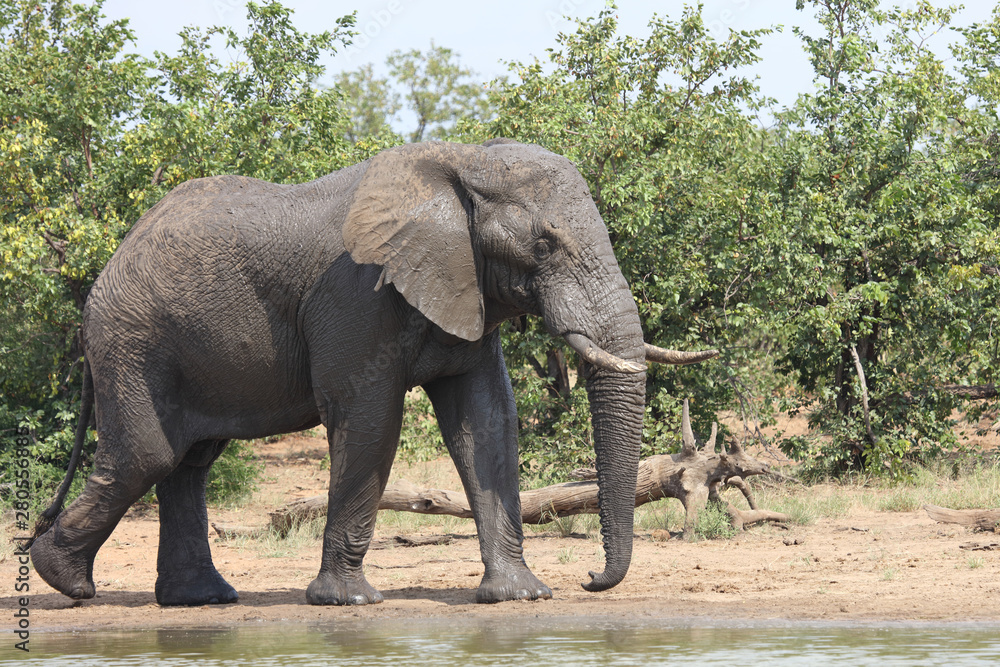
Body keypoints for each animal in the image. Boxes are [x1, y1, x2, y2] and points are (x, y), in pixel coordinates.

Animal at [29, 138, 717, 607]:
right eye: (545, 242)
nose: (592, 579)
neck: (464, 164)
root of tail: (104, 271)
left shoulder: (466, 287)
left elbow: (487, 422)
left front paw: (522, 595)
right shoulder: (358, 295)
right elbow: (369, 418)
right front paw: (347, 601)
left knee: (187, 463)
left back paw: (200, 599)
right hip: (133, 343)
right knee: (148, 455)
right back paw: (63, 581)